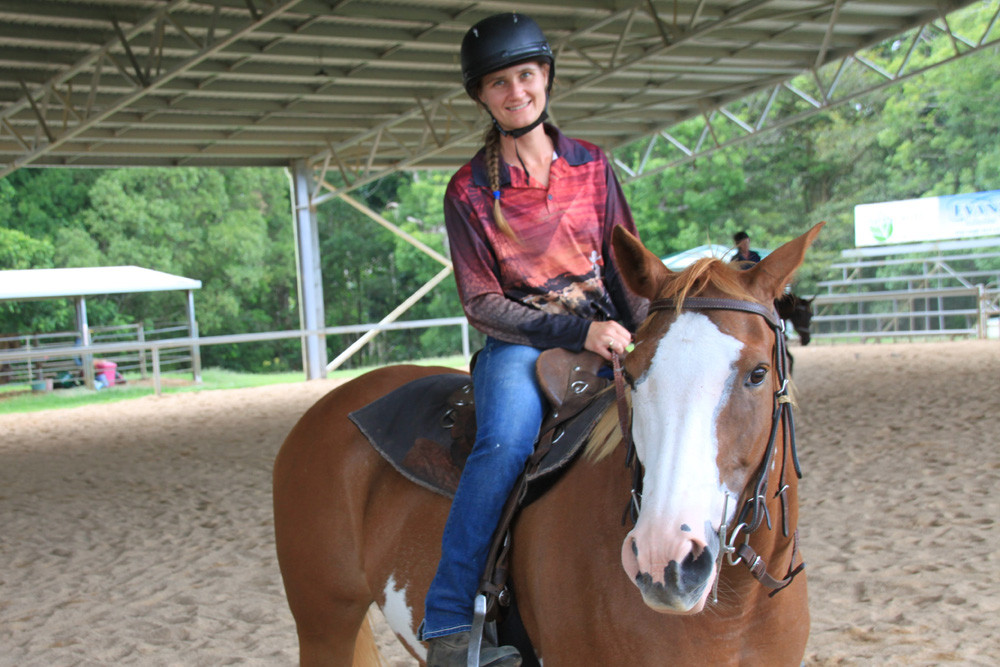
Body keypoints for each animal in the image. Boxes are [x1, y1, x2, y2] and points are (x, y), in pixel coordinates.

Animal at [272, 222, 820, 664]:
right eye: (632, 373)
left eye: (758, 374)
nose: (664, 560)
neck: (736, 613)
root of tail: (330, 406)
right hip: (325, 627)